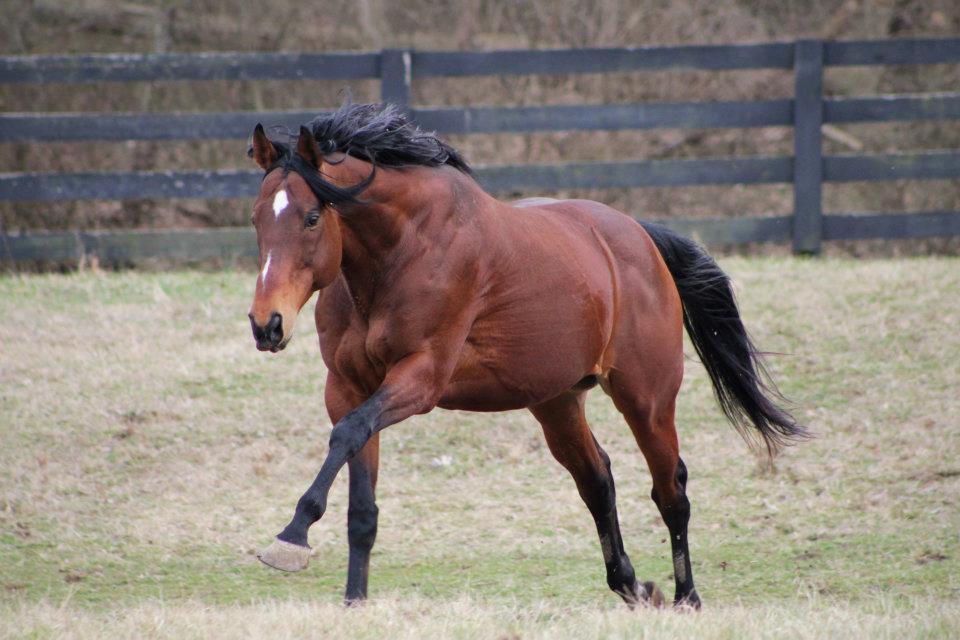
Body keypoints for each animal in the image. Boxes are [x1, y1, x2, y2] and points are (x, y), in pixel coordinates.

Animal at [245, 102, 806, 609]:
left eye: (312, 217)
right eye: (256, 219)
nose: (266, 324)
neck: (401, 253)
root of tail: (640, 237)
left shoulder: (421, 379)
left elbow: (347, 435)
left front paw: (291, 538)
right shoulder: (348, 388)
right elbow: (359, 494)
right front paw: (354, 600)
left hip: (646, 400)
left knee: (671, 490)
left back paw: (686, 598)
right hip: (556, 402)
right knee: (597, 479)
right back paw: (633, 586)